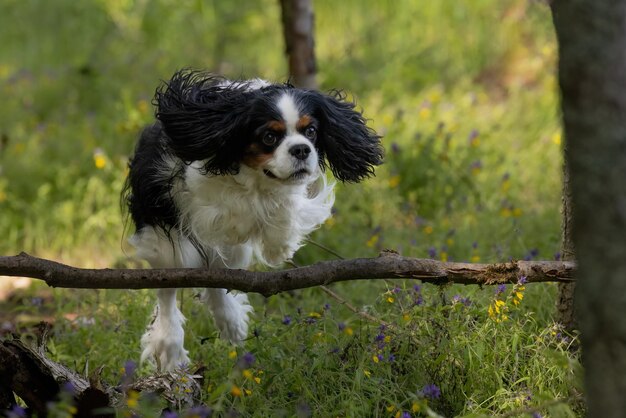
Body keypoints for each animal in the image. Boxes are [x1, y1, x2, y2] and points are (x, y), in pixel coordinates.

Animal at [122, 70, 380, 370]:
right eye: (269, 137)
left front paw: (278, 243)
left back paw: (230, 321)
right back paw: (169, 345)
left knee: (218, 273)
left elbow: (281, 206)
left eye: (311, 132)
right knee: (172, 283)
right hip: (167, 241)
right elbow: (232, 208)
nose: (301, 149)